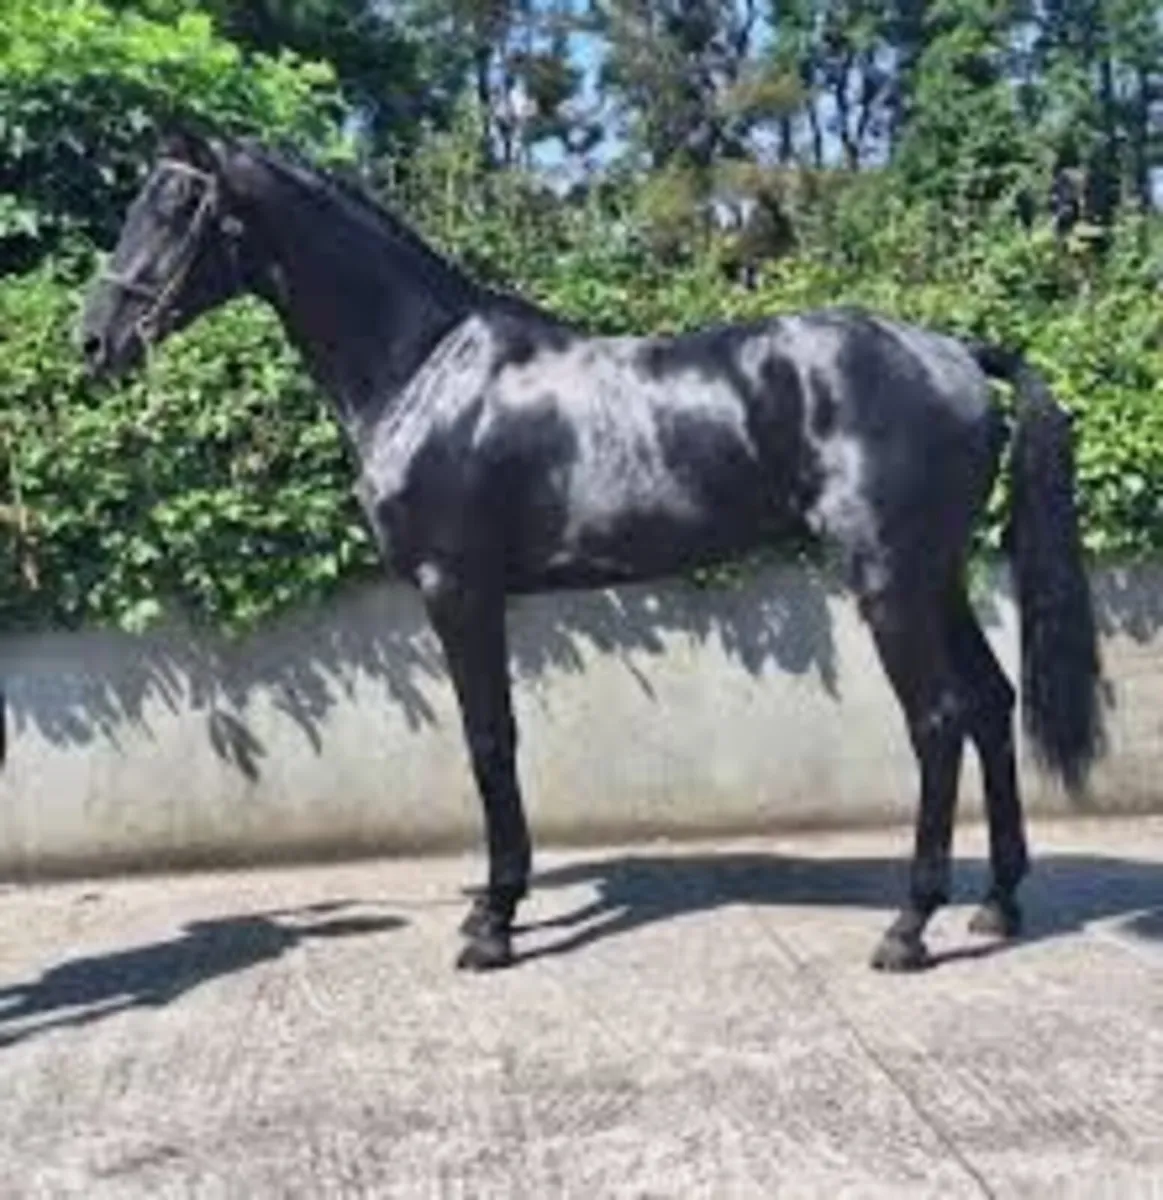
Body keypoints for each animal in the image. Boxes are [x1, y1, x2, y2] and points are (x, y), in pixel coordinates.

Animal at [80, 130, 1104, 973]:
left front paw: (493, 923)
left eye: (173, 209)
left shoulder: (458, 589)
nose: (95, 340)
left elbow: (489, 739)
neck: (424, 366)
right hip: (934, 576)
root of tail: (959, 355)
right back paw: (997, 906)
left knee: (937, 720)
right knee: (989, 704)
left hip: (888, 579)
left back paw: (908, 927)